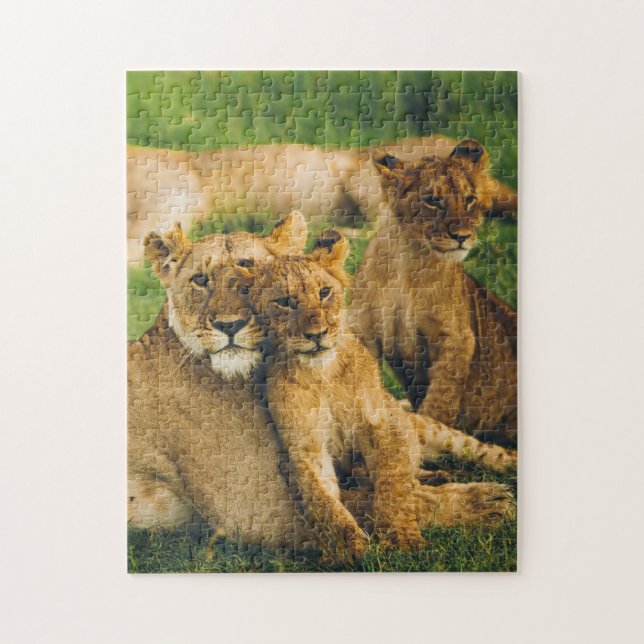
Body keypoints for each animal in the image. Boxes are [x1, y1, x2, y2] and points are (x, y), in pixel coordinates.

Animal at [241, 229, 515, 561]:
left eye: (324, 292)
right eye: (283, 302)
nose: (317, 335)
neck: (322, 375)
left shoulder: (382, 423)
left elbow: (392, 484)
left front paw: (401, 540)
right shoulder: (304, 446)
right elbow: (322, 501)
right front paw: (348, 548)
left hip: (429, 428)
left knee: (479, 451)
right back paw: (436, 477)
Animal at [349, 139, 518, 445]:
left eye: (469, 199)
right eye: (433, 199)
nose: (462, 236)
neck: (408, 260)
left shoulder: (458, 338)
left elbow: (440, 400)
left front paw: (429, 435)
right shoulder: (363, 330)